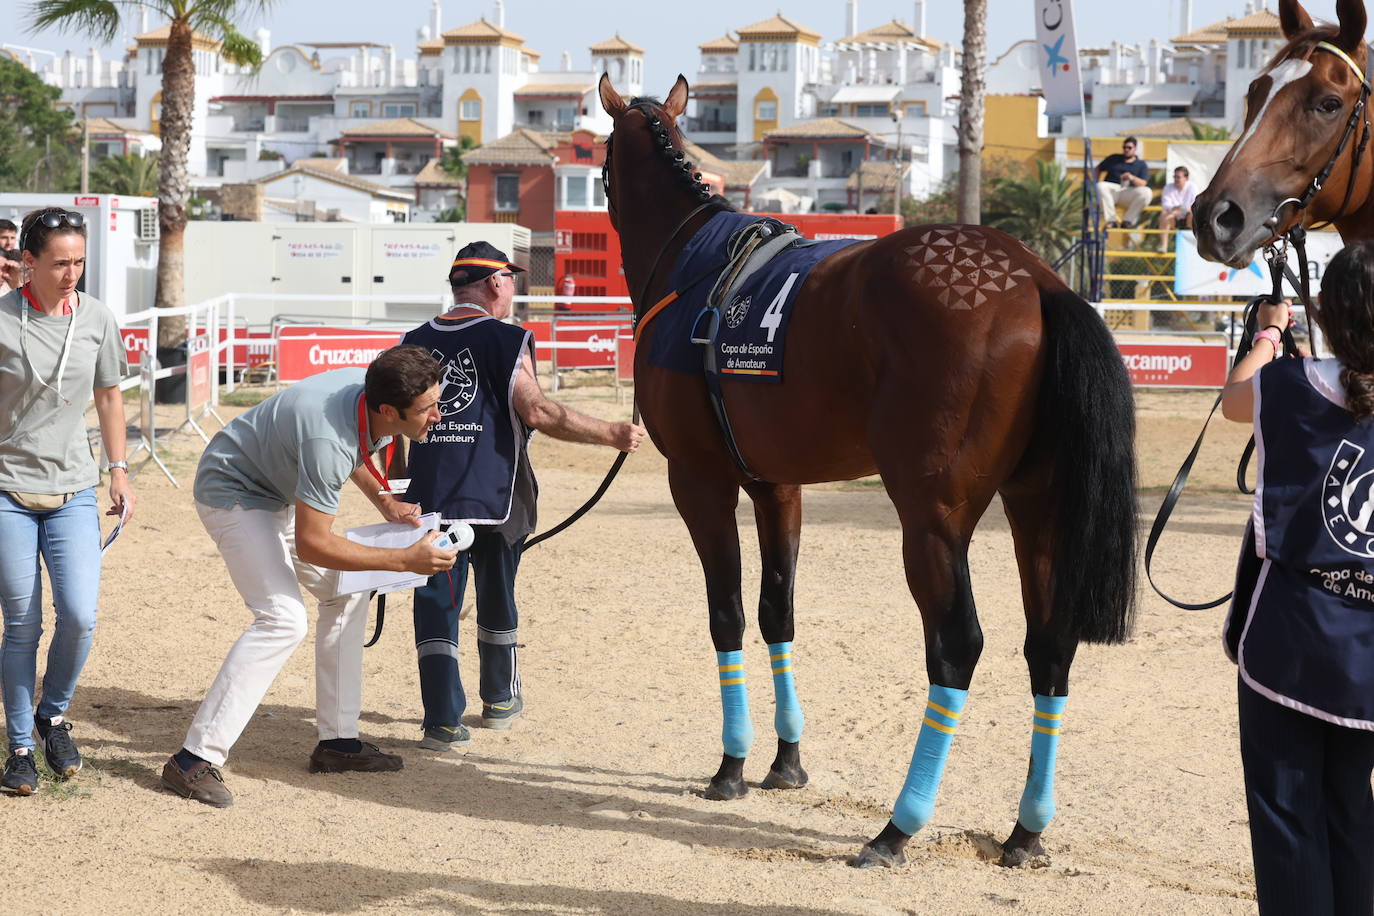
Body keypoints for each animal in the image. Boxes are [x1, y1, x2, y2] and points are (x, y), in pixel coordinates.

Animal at [597, 73, 1139, 868]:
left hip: (932, 518)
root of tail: (1039, 282)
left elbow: (726, 613)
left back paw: (898, 826)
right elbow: (777, 611)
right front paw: (785, 761)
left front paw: (732, 765)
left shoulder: (699, 482)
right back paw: (1026, 830)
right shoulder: (776, 487)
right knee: (1049, 645)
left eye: (600, 163)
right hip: (1036, 506)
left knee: (956, 646)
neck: (693, 268)